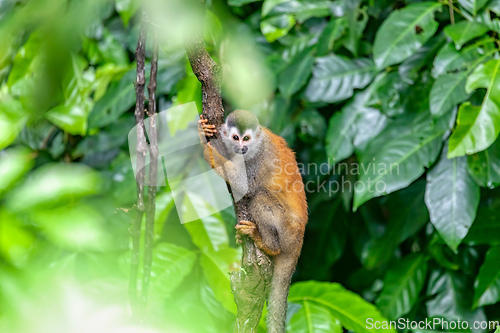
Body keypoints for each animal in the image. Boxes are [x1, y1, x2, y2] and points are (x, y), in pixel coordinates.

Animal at [197, 109, 306, 332]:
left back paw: (269, 245)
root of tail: (299, 238)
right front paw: (203, 130)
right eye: (235, 137)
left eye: (246, 138)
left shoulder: (260, 158)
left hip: (288, 230)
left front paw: (208, 152)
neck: (257, 144)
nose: (242, 148)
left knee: (259, 197)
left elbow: (245, 185)